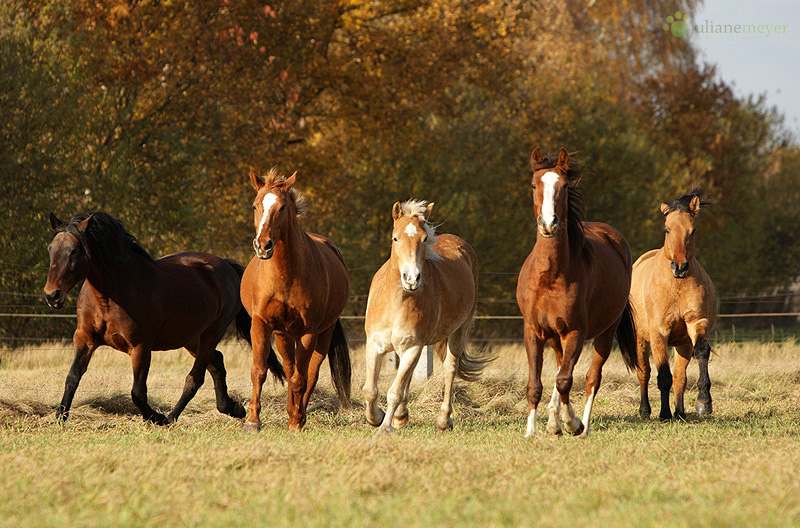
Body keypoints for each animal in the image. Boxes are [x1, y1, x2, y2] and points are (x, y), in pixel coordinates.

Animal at [43, 212, 282, 422]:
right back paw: (232, 408)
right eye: (50, 249)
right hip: (192, 339)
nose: (52, 295)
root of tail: (226, 266)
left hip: (211, 334)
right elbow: (72, 378)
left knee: (195, 378)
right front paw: (60, 417)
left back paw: (171, 418)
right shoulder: (84, 339)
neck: (109, 296)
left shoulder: (140, 347)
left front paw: (155, 417)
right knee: (217, 363)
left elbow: (137, 392)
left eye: (74, 251)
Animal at [238, 170, 350, 434]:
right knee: (290, 371)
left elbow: (302, 377)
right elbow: (259, 371)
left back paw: (298, 416)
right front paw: (252, 421)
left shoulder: (308, 332)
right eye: (255, 205)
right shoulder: (261, 324)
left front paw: (296, 421)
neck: (285, 275)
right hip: (283, 336)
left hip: (323, 333)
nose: (263, 245)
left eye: (282, 207)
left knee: (310, 373)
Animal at [520, 147, 636, 438]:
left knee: (591, 379)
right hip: (555, 337)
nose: (548, 224)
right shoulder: (534, 331)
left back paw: (582, 427)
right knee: (561, 367)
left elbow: (565, 380)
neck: (551, 276)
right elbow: (535, 385)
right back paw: (553, 422)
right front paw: (532, 430)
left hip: (605, 333)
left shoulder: (575, 332)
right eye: (534, 185)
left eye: (563, 186)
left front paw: (573, 423)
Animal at [632, 190, 720, 420]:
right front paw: (664, 413)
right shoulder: (659, 332)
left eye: (693, 230)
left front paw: (704, 402)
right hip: (640, 339)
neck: (677, 284)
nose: (679, 267)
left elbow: (701, 353)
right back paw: (645, 411)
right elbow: (663, 374)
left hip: (682, 343)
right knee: (644, 372)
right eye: (667, 228)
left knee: (680, 376)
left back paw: (679, 412)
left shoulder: (696, 323)